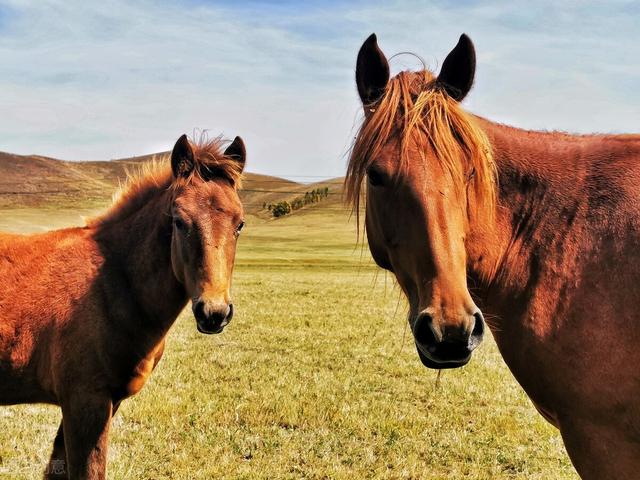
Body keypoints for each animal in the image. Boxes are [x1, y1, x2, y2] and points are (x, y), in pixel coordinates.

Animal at [0, 133, 246, 478]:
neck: (113, 283)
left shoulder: (104, 403)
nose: (214, 313)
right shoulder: (85, 401)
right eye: (179, 222)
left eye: (239, 224)